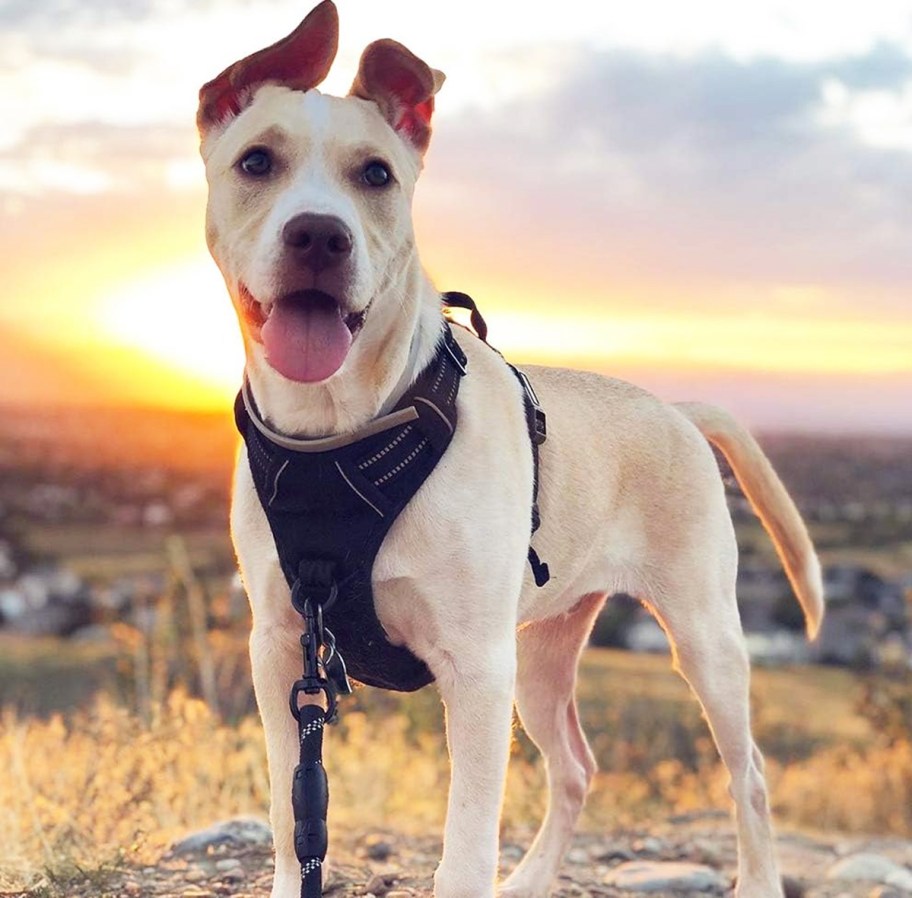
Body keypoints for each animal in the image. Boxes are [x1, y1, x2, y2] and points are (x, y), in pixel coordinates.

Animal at [196, 3, 824, 892]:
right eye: (256, 161)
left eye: (376, 175)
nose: (318, 235)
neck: (347, 430)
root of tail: (674, 410)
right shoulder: (282, 649)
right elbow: (294, 818)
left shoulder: (476, 670)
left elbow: (464, 847)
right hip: (542, 653)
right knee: (576, 768)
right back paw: (529, 878)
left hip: (702, 638)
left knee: (751, 777)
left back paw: (758, 876)